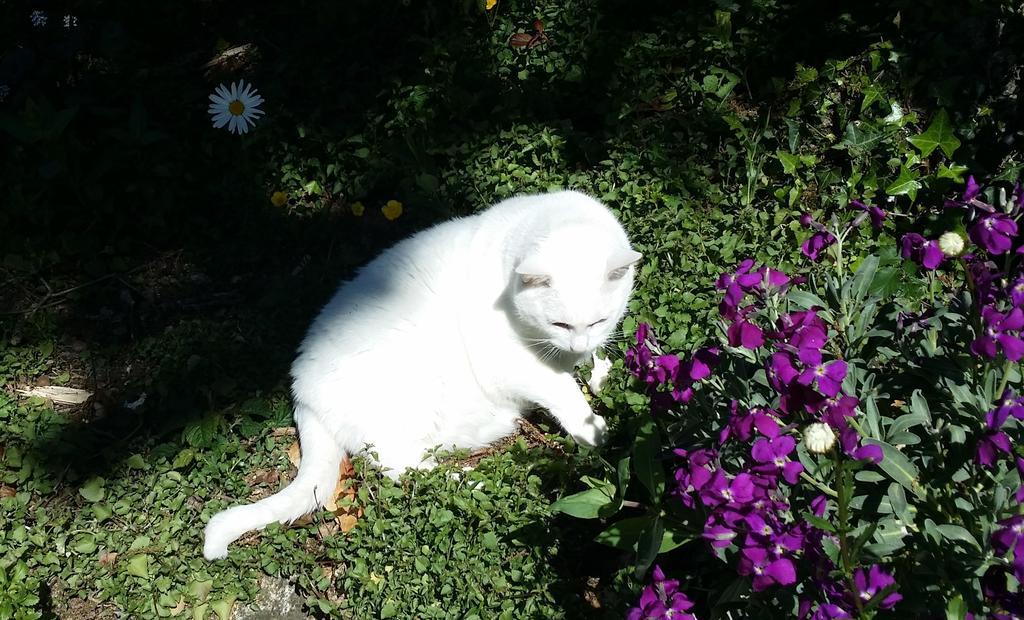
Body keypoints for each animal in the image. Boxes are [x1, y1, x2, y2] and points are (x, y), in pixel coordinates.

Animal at [201, 190, 638, 557]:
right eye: (559, 324)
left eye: (599, 321)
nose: (578, 345)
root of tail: (301, 390)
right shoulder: (508, 363)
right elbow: (560, 389)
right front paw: (594, 431)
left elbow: (585, 369)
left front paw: (600, 373)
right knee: (400, 466)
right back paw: (478, 480)